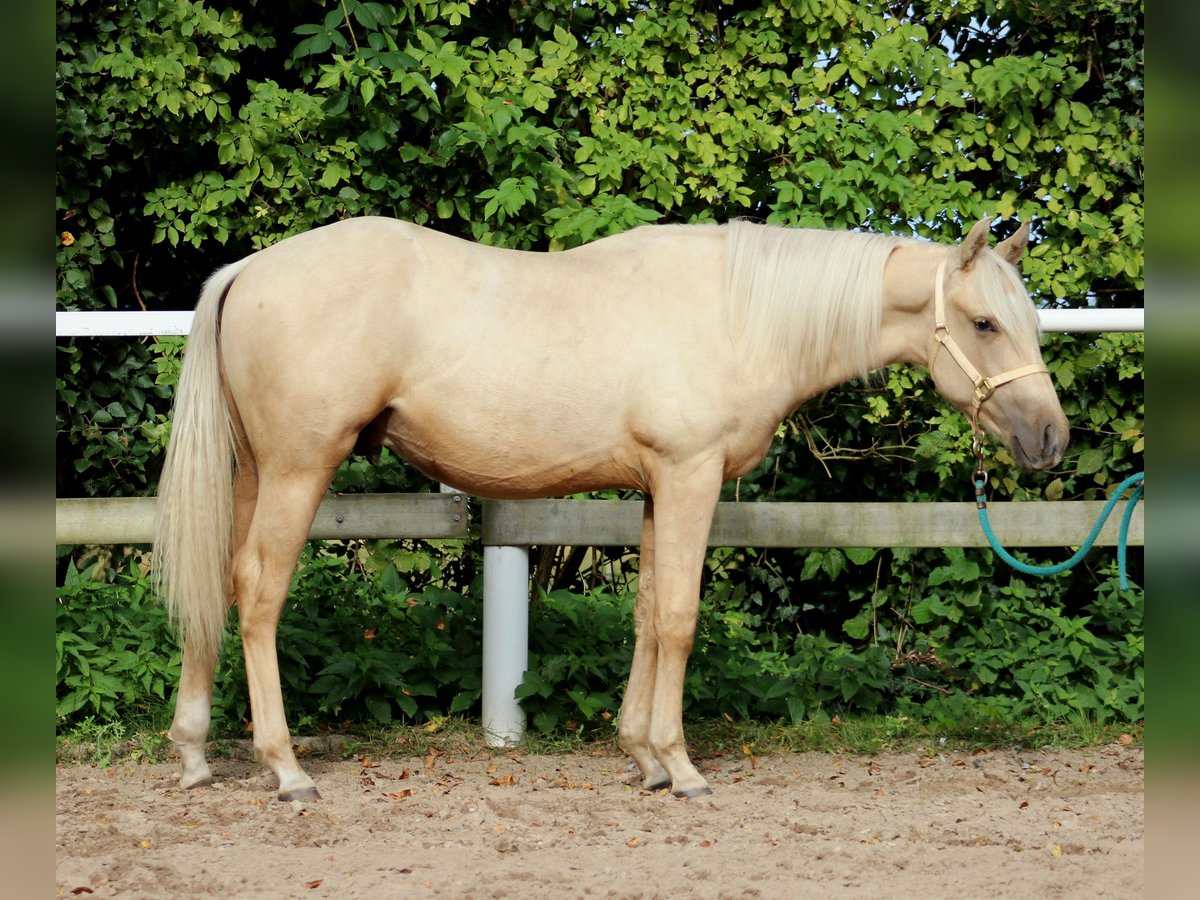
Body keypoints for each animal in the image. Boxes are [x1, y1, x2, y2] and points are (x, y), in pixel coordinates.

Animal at [157, 214, 1070, 801]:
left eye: (1024, 322)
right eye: (984, 323)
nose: (1051, 439)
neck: (741, 314)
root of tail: (248, 271)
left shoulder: (658, 488)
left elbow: (645, 615)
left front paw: (643, 757)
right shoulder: (692, 477)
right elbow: (679, 618)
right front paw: (681, 766)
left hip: (254, 472)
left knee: (220, 583)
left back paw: (197, 755)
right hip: (298, 469)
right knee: (260, 591)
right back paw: (285, 770)